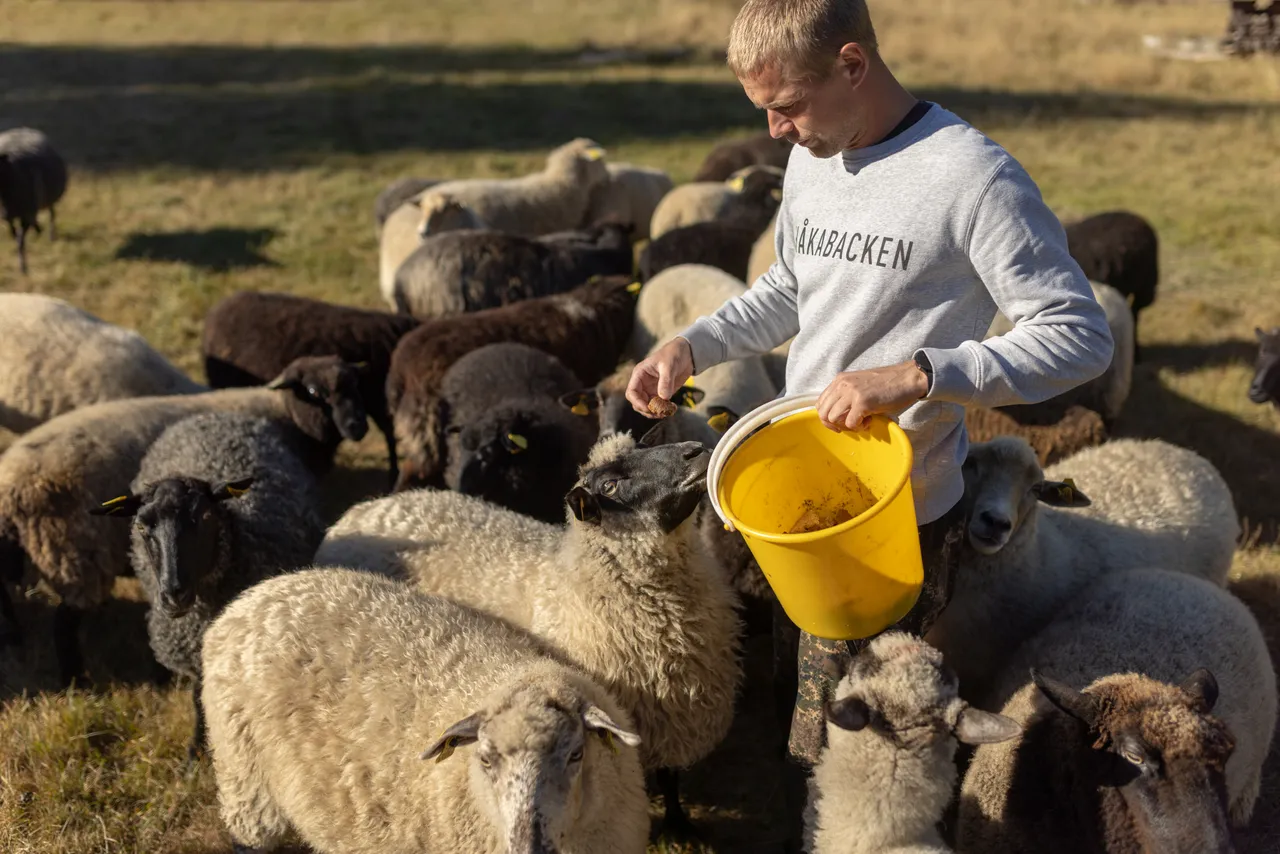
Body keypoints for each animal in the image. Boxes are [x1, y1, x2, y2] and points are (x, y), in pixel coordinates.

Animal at [0, 127, 68, 275]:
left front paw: (23, 267)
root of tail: (24, 128)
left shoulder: (26, 212)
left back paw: (50, 235)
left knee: (52, 213)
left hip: (47, 198)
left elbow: (20, 240)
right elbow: (15, 234)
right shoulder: (10, 216)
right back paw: (39, 229)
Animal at [0, 355, 366, 684]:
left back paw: (16, 639)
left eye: (356, 387)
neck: (283, 413)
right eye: (316, 391)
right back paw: (75, 680)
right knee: (64, 623)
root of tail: (10, 489)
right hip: (75, 556)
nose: (359, 427)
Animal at [89, 412, 324, 760]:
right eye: (142, 526)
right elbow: (198, 697)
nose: (174, 595)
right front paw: (195, 750)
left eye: (205, 516)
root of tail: (211, 414)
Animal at [315, 435, 742, 837]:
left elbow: (670, 779)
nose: (695, 450)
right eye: (609, 485)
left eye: (642, 445)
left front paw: (680, 825)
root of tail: (365, 509)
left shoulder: (676, 713)